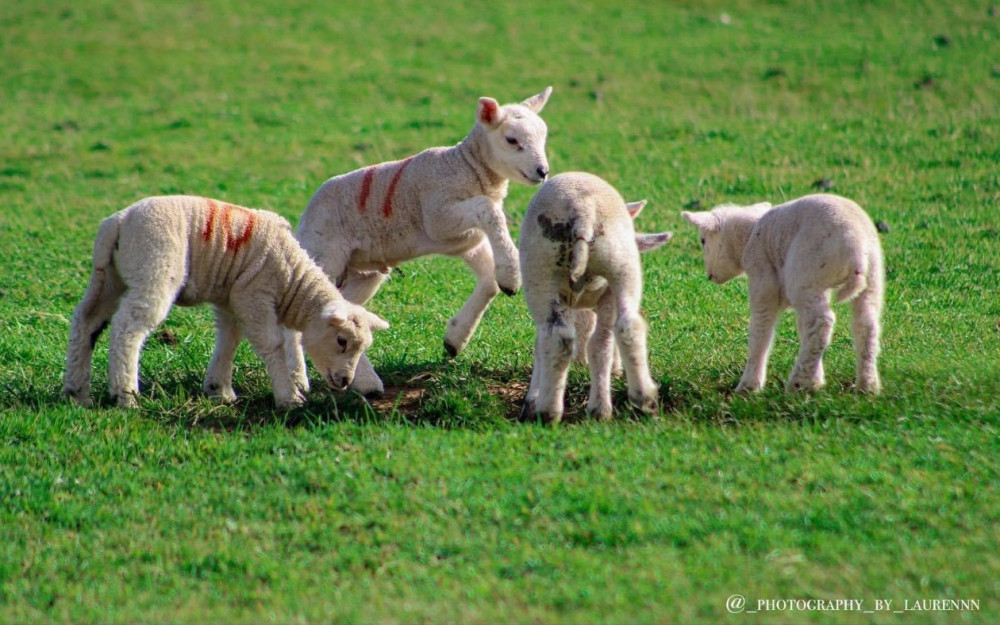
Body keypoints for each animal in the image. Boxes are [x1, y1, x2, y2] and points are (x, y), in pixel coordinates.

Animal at [62, 196, 388, 410]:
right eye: (342, 341)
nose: (344, 381)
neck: (292, 280)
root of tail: (118, 222)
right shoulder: (254, 295)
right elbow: (272, 344)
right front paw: (289, 396)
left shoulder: (231, 299)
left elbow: (229, 340)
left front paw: (219, 389)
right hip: (153, 266)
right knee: (127, 328)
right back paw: (125, 394)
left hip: (109, 277)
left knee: (86, 321)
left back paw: (77, 392)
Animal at [286, 86, 556, 394]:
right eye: (512, 140)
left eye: (543, 137)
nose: (542, 171)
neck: (467, 168)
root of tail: (307, 215)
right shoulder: (438, 216)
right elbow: (490, 209)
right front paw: (511, 274)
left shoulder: (466, 240)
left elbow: (489, 282)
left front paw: (455, 339)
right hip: (323, 252)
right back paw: (300, 383)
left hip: (362, 273)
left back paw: (363, 382)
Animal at [516, 173, 672, 422]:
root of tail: (583, 210)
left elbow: (540, 347)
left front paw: (532, 399)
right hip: (620, 262)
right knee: (621, 330)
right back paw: (638, 400)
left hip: (539, 271)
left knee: (558, 337)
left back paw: (548, 411)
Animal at [680, 193, 884, 392]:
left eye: (703, 241)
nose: (709, 276)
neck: (749, 234)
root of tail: (857, 250)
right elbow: (802, 328)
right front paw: (816, 380)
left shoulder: (762, 277)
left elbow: (760, 331)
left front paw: (749, 385)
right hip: (869, 277)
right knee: (865, 325)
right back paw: (867, 386)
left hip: (806, 271)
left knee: (821, 323)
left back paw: (798, 383)